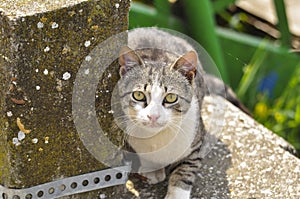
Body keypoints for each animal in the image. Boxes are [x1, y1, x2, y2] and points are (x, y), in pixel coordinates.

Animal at [116, 28, 245, 199]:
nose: (153, 116)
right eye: (138, 95)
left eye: (171, 97)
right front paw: (152, 170)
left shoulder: (195, 145)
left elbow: (185, 171)